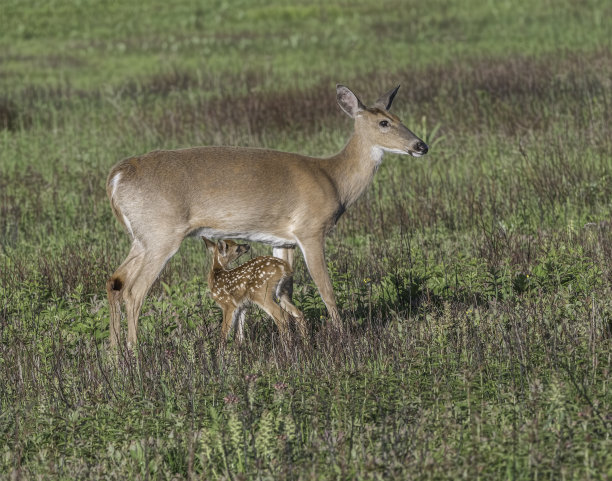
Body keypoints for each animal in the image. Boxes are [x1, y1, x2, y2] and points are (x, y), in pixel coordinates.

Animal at [105, 82, 428, 344]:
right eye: (384, 122)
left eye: (401, 119)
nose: (421, 145)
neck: (334, 180)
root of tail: (115, 177)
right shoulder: (311, 230)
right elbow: (326, 288)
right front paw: (342, 335)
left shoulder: (282, 240)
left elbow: (285, 292)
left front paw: (300, 336)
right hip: (161, 234)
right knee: (134, 291)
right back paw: (135, 353)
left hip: (141, 237)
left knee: (115, 281)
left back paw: (115, 354)